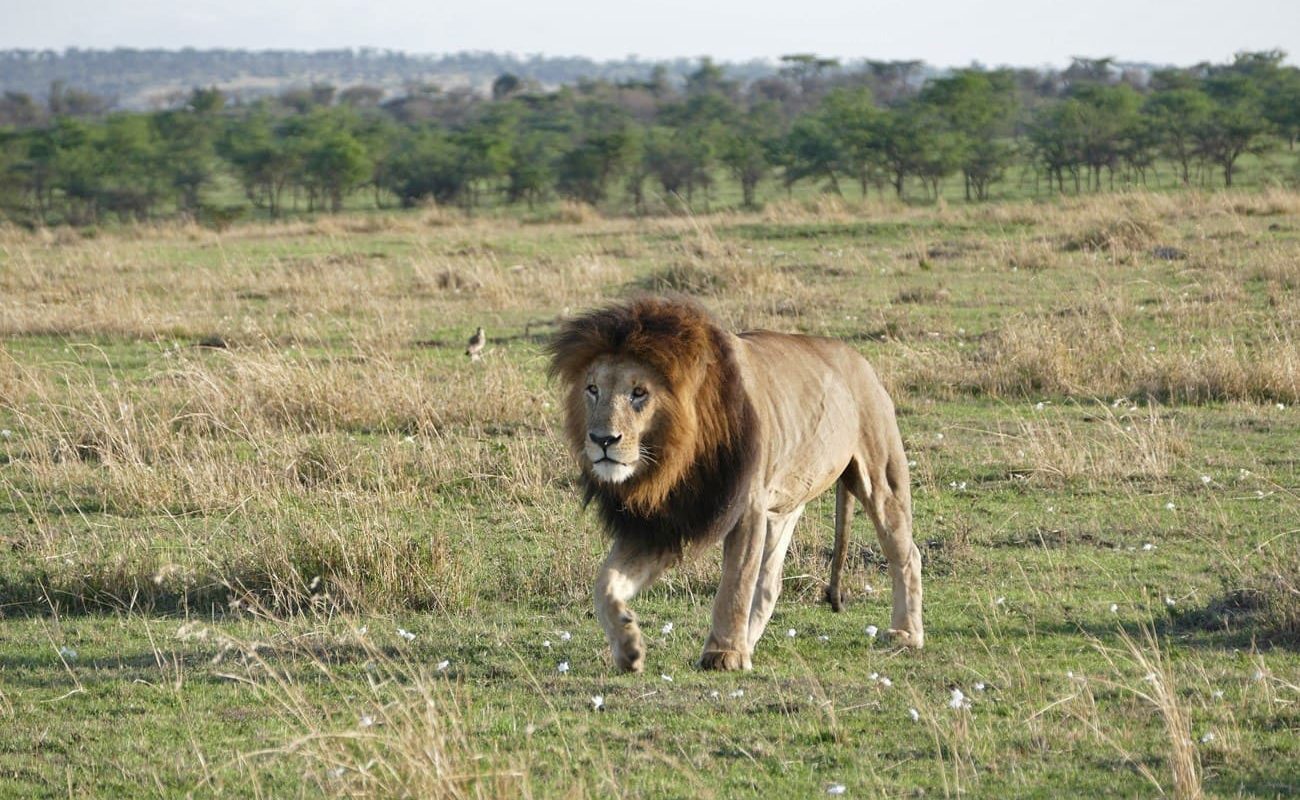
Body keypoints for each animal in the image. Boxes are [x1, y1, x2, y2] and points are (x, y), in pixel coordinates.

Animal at [547, 297, 923, 672]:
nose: (602, 440)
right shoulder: (662, 521)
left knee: (907, 553)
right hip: (783, 504)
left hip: (881, 476)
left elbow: (735, 583)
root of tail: (857, 358)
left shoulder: (746, 509)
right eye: (592, 389)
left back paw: (906, 634)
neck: (675, 459)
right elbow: (604, 584)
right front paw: (627, 645)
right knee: (770, 584)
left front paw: (723, 653)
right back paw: (749, 641)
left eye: (639, 393)